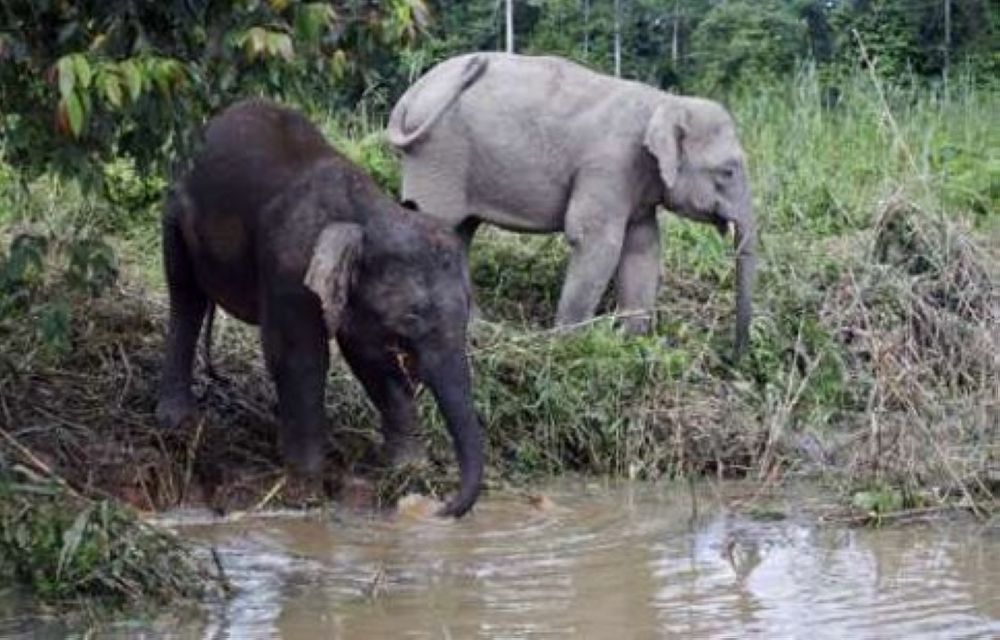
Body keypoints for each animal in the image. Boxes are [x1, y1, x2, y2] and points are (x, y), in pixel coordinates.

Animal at [155, 99, 483, 517]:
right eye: (411, 318)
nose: (442, 507)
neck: (367, 213)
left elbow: (370, 359)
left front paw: (409, 471)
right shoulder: (291, 269)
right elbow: (299, 357)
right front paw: (307, 489)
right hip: (174, 212)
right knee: (185, 296)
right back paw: (177, 422)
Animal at [386, 53, 756, 359]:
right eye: (727, 171)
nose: (730, 358)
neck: (666, 101)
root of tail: (408, 97)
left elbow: (643, 246)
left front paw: (632, 342)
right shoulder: (609, 165)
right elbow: (595, 241)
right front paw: (569, 344)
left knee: (461, 234)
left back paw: (479, 329)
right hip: (437, 156)